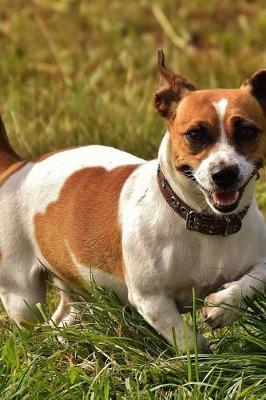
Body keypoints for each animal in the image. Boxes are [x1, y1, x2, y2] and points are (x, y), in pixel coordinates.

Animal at [0, 50, 266, 354]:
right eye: (194, 135)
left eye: (248, 132)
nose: (224, 173)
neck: (205, 221)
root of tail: (18, 166)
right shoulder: (152, 301)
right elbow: (188, 341)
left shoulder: (257, 258)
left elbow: (257, 279)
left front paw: (223, 306)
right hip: (21, 293)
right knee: (30, 320)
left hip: (79, 288)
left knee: (62, 318)